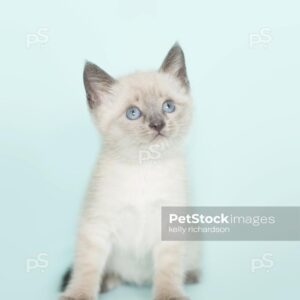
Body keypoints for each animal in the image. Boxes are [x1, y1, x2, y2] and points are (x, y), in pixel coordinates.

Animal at [59, 42, 199, 300]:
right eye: (133, 113)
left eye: (168, 106)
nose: (158, 124)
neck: (143, 166)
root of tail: (138, 280)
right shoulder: (97, 225)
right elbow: (86, 267)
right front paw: (78, 294)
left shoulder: (170, 224)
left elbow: (169, 269)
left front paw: (170, 294)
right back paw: (109, 280)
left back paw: (191, 275)